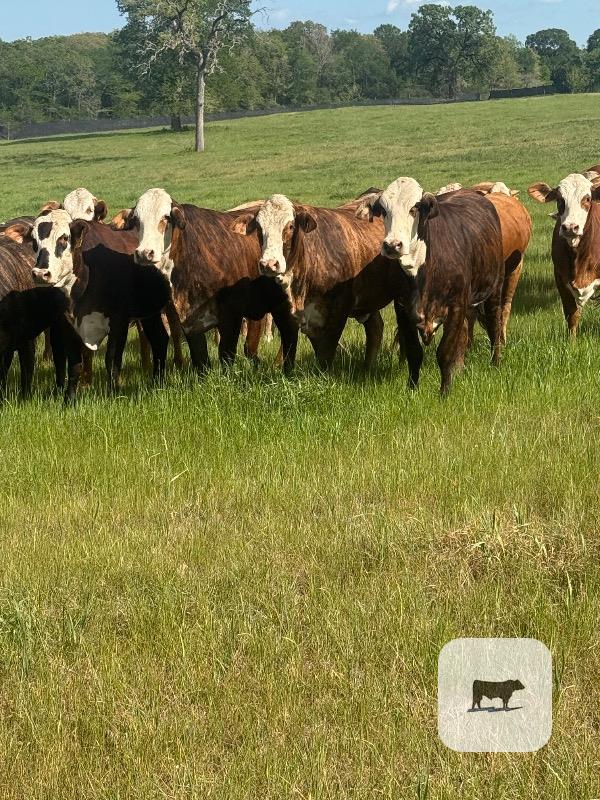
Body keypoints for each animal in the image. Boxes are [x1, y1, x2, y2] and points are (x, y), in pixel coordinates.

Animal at [26, 208, 172, 394]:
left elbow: (112, 361)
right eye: (34, 241)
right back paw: (157, 382)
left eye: (64, 238)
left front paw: (115, 393)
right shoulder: (67, 323)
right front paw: (69, 398)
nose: (40, 273)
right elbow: (73, 365)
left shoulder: (119, 323)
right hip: (150, 312)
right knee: (159, 338)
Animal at [119, 189, 298, 373]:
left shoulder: (233, 314)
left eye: (165, 218)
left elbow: (229, 352)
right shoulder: (188, 319)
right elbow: (200, 357)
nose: (144, 253)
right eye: (136, 220)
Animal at [230, 193, 386, 370]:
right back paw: (368, 368)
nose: (269, 264)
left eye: (291, 226)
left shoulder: (338, 313)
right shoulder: (289, 317)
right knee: (375, 328)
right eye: (258, 227)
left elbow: (326, 354)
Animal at [357, 178, 505, 395]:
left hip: (494, 288)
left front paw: (445, 392)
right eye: (383, 210)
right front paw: (412, 389)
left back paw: (495, 362)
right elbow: (414, 352)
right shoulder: (402, 308)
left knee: (494, 323)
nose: (392, 245)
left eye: (414, 208)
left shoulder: (456, 307)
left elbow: (445, 352)